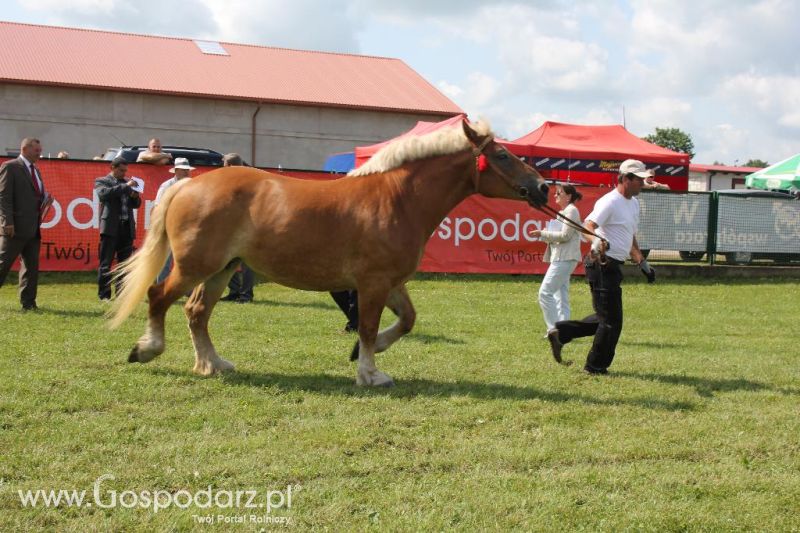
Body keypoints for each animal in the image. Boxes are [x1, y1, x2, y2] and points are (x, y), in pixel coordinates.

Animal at [111, 120, 552, 386]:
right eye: (501, 155)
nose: (544, 187)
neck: (397, 199)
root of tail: (189, 185)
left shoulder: (391, 283)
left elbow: (406, 321)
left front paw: (365, 354)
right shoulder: (373, 284)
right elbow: (369, 327)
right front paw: (370, 373)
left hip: (223, 269)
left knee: (196, 312)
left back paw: (213, 364)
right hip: (194, 266)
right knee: (159, 297)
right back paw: (148, 349)